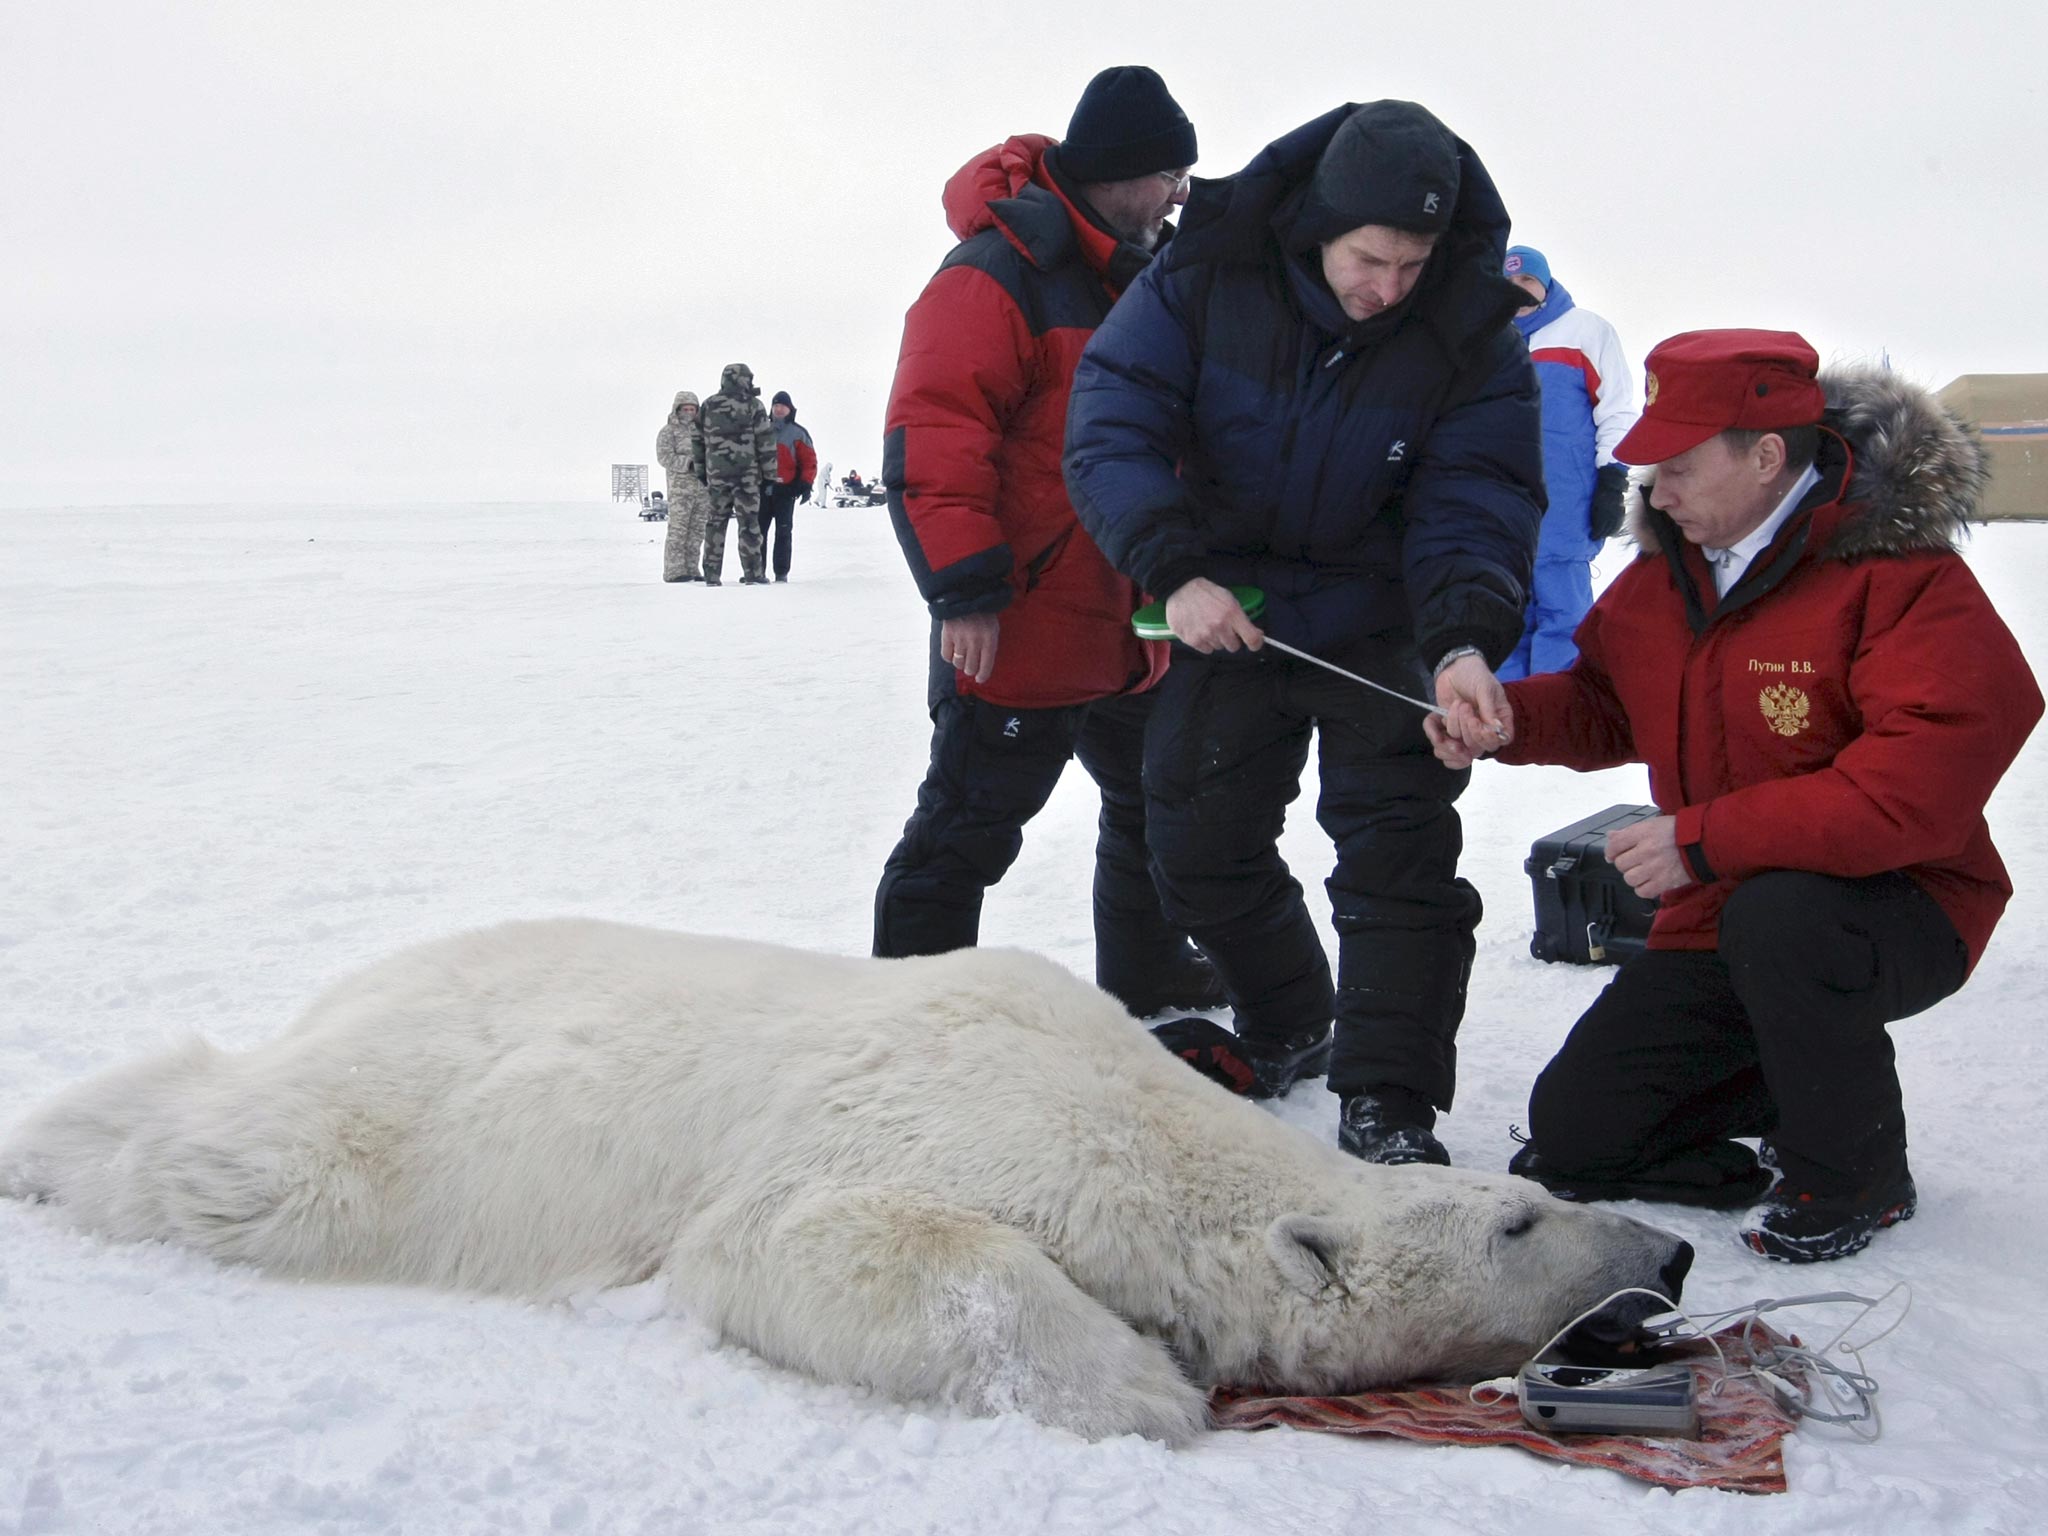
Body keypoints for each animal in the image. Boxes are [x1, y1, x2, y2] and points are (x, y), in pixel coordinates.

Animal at [0, 921, 1687, 1449]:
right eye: (1517, 1218)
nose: (1671, 1255)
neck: (1151, 1126)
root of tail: (360, 984)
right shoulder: (942, 1109)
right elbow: (805, 1239)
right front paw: (1145, 1388)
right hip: (425, 1113)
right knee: (250, 1156)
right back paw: (46, 1146)